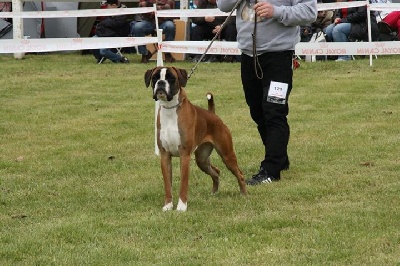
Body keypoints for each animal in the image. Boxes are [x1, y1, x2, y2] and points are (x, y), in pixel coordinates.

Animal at [145, 67, 245, 212]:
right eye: (155, 78)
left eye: (171, 78)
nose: (161, 83)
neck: (170, 109)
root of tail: (213, 114)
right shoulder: (165, 156)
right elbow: (167, 185)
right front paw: (168, 205)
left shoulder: (184, 155)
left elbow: (183, 184)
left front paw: (181, 207)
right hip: (202, 160)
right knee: (216, 172)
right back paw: (214, 193)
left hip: (227, 156)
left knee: (240, 174)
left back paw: (244, 194)